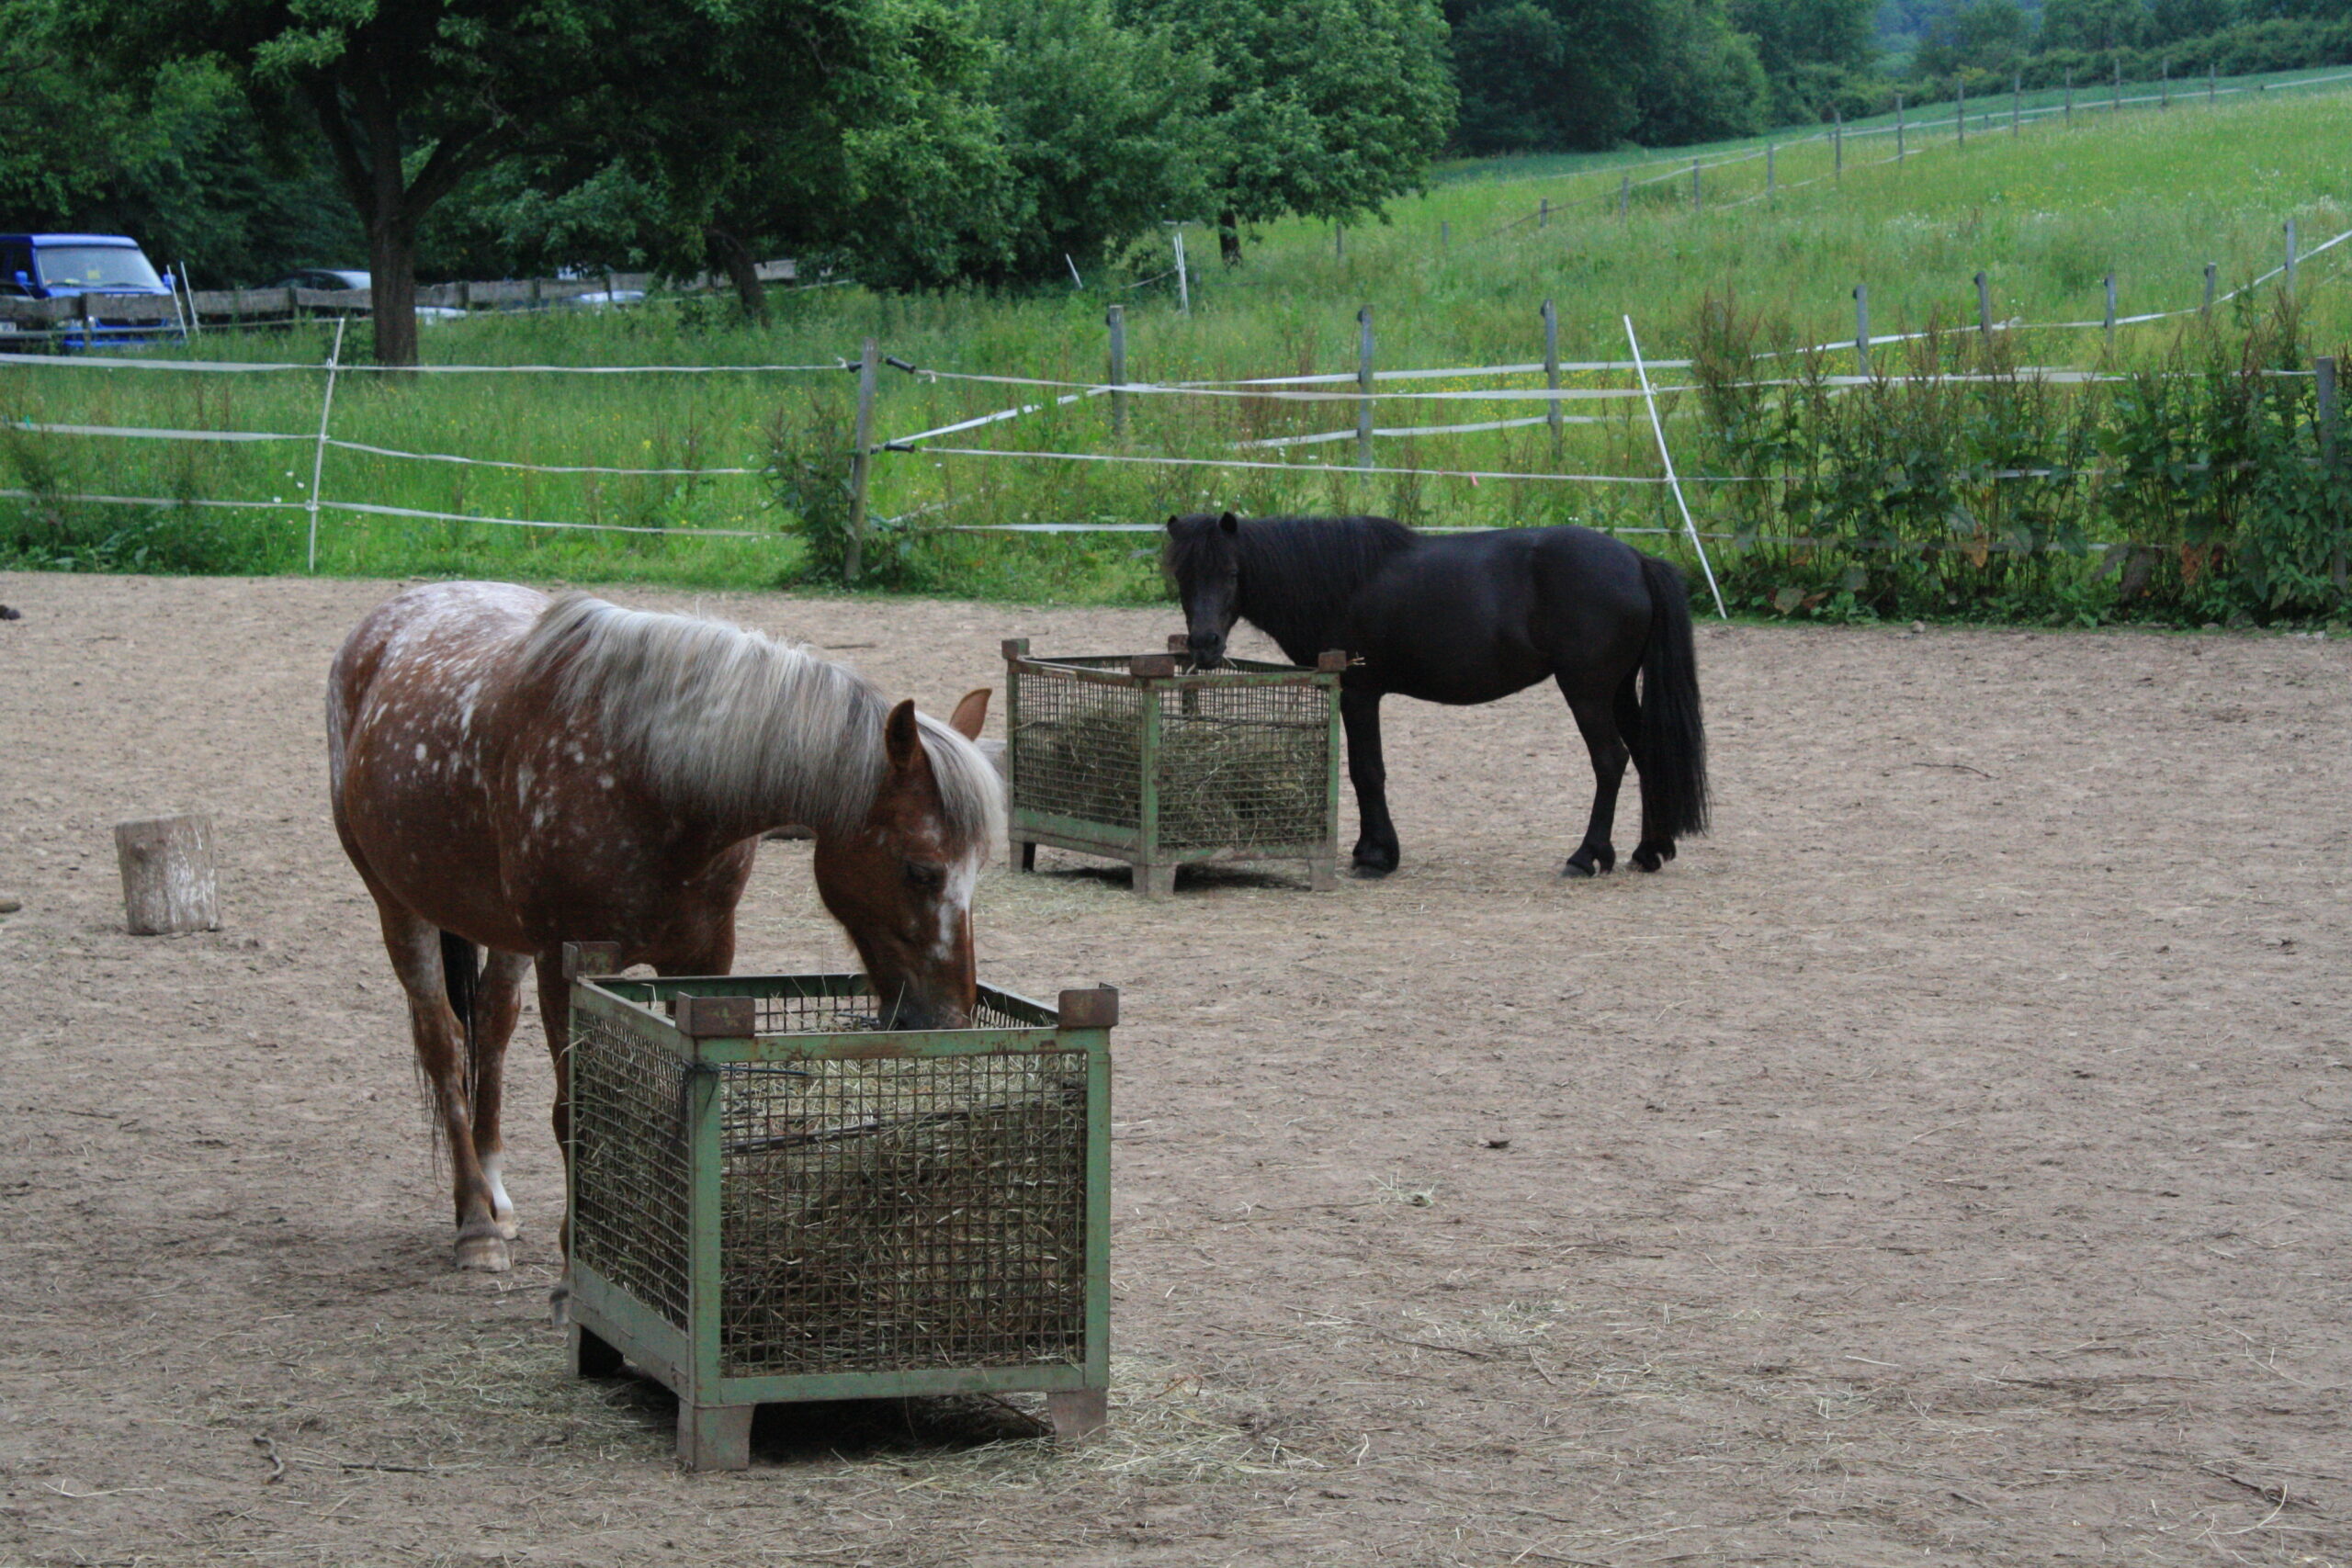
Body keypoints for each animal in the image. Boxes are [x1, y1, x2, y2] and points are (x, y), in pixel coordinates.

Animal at [327, 582, 1005, 1282]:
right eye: (921, 870)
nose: (949, 1018)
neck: (647, 776)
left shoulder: (702, 957)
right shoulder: (565, 962)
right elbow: (574, 1113)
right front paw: (576, 1262)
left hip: (503, 934)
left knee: (490, 1027)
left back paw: (497, 1197)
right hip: (398, 906)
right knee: (442, 1043)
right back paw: (476, 1224)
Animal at [1163, 512, 1708, 879]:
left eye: (1233, 573)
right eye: (1183, 576)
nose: (1205, 644)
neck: (1339, 583)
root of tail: (1636, 560)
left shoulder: (1359, 694)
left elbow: (1367, 772)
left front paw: (1375, 855)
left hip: (1588, 692)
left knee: (1611, 761)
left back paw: (1587, 856)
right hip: (1618, 691)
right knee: (1646, 755)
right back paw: (1648, 851)